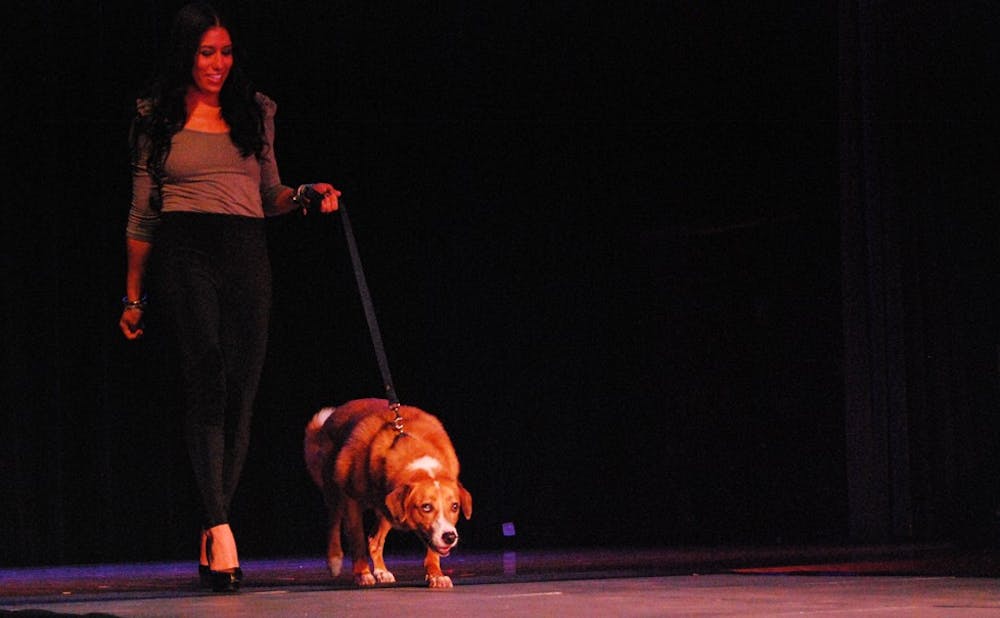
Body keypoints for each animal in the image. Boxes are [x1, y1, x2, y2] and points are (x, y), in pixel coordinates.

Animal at [304, 398, 472, 584]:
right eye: (426, 507)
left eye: (455, 507)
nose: (450, 537)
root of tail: (335, 414)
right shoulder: (351, 502)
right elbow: (357, 540)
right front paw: (362, 573)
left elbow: (432, 548)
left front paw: (436, 574)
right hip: (334, 492)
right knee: (334, 523)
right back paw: (334, 559)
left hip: (386, 507)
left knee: (374, 540)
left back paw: (381, 571)